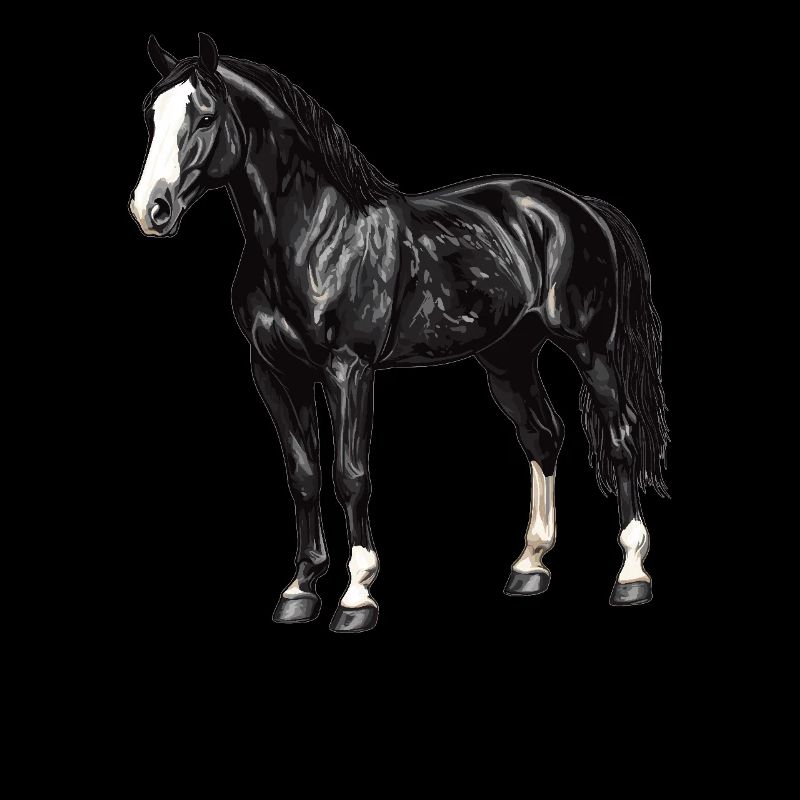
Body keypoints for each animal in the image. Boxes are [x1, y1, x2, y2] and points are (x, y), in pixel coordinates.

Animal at [130, 33, 668, 632]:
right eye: (151, 115)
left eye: (204, 116)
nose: (150, 209)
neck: (315, 234)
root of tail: (579, 208)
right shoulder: (274, 373)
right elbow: (303, 475)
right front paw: (299, 590)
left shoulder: (349, 370)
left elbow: (350, 475)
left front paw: (356, 595)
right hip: (508, 357)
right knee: (543, 435)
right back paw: (529, 566)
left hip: (591, 349)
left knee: (620, 439)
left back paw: (631, 575)